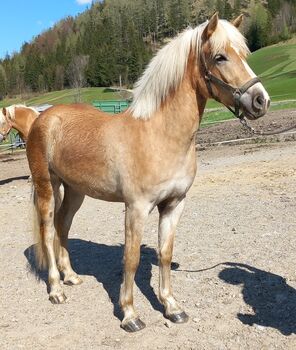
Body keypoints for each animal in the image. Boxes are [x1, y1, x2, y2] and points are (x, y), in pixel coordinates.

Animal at [25, 13, 270, 330]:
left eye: (244, 54)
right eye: (220, 57)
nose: (261, 100)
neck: (159, 135)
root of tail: (43, 118)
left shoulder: (174, 205)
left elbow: (165, 254)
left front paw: (172, 307)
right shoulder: (137, 208)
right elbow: (131, 258)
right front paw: (130, 314)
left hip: (76, 190)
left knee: (62, 225)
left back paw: (71, 277)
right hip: (47, 186)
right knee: (47, 230)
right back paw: (56, 289)